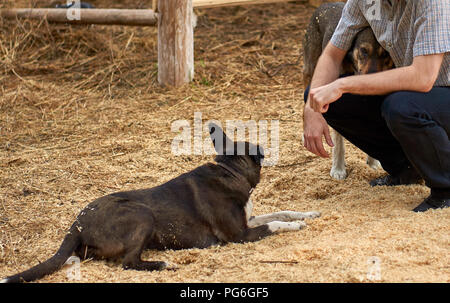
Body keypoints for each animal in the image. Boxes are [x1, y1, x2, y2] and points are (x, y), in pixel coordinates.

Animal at [2, 122, 320, 284]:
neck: (230, 171)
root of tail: (76, 226)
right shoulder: (240, 235)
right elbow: (276, 223)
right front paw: (296, 225)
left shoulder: (248, 219)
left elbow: (281, 211)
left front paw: (308, 213)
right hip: (142, 214)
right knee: (129, 263)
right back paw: (164, 264)